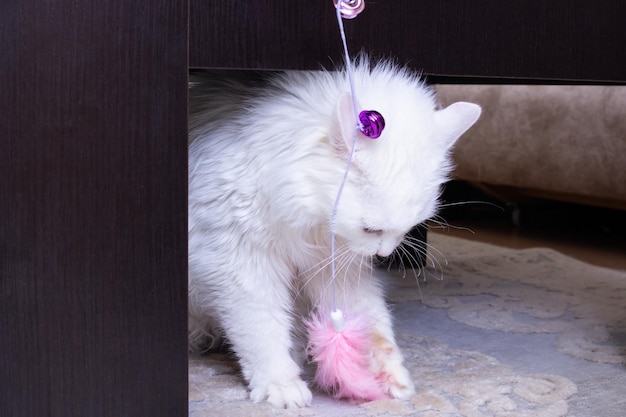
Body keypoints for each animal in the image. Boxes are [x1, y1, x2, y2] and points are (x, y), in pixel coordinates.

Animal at [185, 60, 478, 408]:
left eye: (408, 230)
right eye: (371, 229)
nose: (383, 254)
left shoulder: (336, 266)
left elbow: (373, 320)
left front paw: (388, 373)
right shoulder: (242, 264)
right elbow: (262, 329)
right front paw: (281, 384)